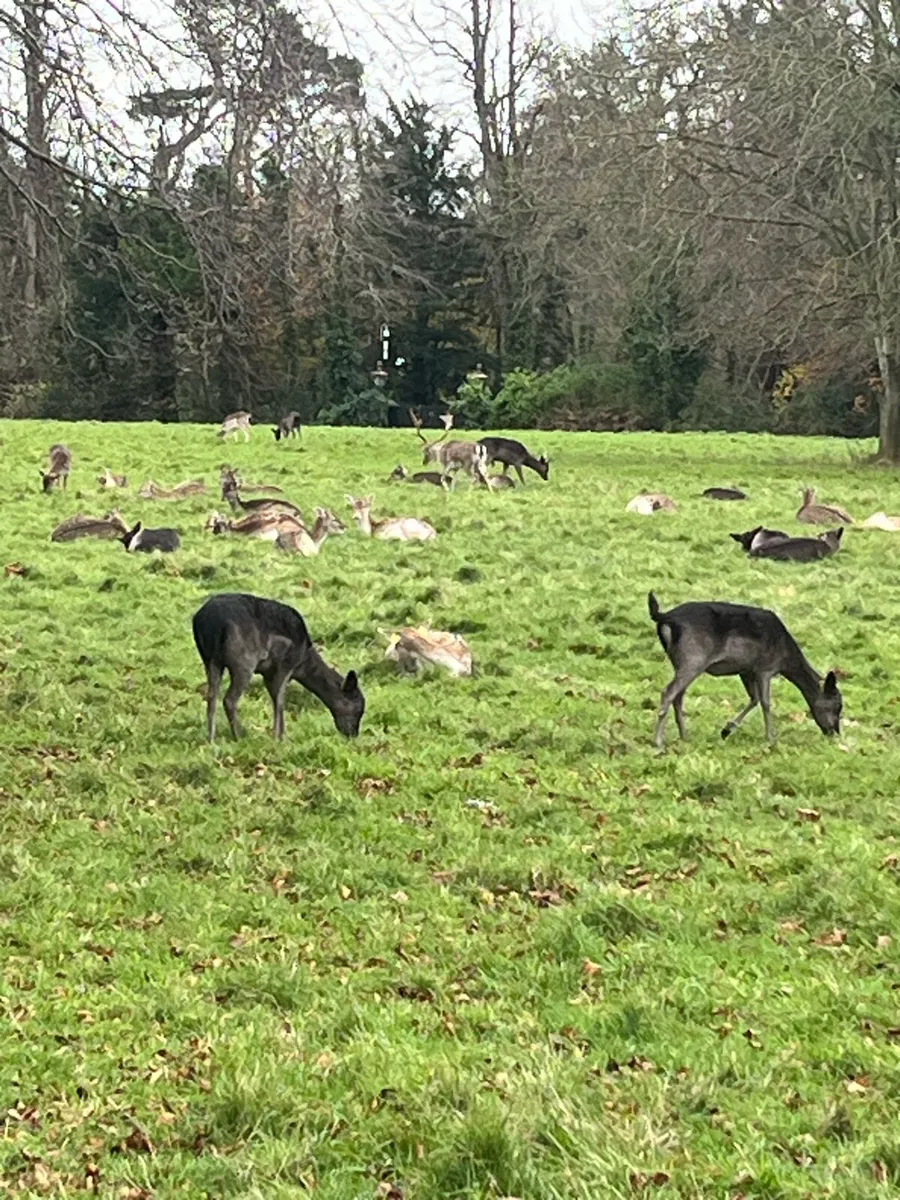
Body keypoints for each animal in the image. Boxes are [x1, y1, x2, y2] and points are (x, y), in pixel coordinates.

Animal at [192, 592, 365, 741]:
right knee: (229, 699)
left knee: (211, 696)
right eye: (358, 708)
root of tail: (208, 623)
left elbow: (276, 698)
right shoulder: (284, 665)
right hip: (243, 661)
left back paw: (211, 738)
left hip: (210, 660)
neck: (303, 661)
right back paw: (239, 736)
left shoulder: (268, 672)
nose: (353, 734)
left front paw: (280, 735)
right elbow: (279, 700)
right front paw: (279, 737)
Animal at [648, 591, 842, 748]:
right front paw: (771, 738)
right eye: (837, 706)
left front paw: (726, 730)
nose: (834, 733)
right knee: (668, 692)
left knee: (678, 696)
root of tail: (664, 617)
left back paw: (684, 736)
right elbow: (765, 702)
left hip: (680, 662)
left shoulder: (746, 671)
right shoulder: (765, 668)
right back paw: (658, 741)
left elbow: (754, 699)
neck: (786, 659)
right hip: (693, 659)